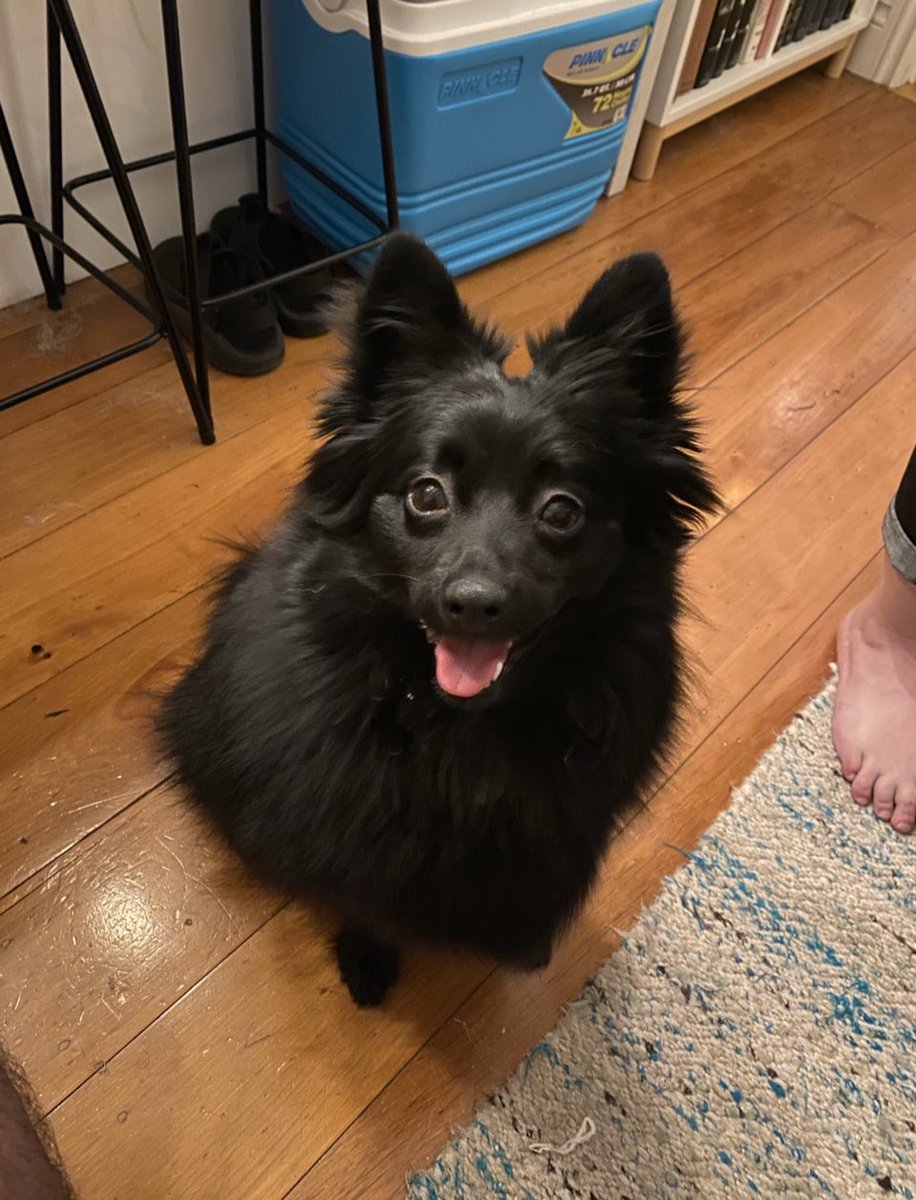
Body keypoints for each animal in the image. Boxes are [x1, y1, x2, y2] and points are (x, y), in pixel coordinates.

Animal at [160, 231, 720, 1003]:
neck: (461, 731)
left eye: (563, 510)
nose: (474, 602)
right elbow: (365, 897)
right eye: (427, 494)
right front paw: (368, 960)